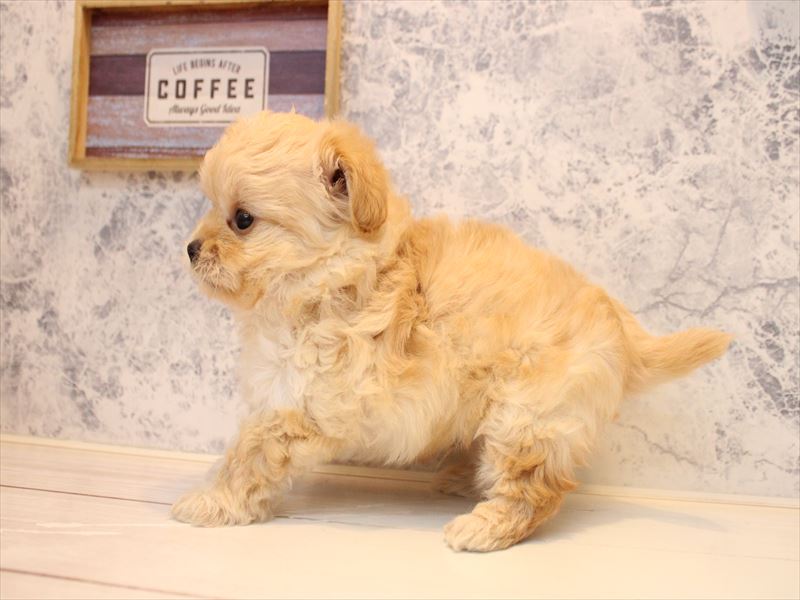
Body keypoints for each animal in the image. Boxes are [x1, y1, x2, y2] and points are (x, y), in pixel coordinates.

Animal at [172, 110, 731, 552]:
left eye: (243, 219)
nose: (191, 248)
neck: (329, 275)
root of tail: (619, 326)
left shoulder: (297, 402)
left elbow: (247, 457)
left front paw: (206, 502)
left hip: (530, 413)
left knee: (535, 487)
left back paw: (483, 527)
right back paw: (465, 479)